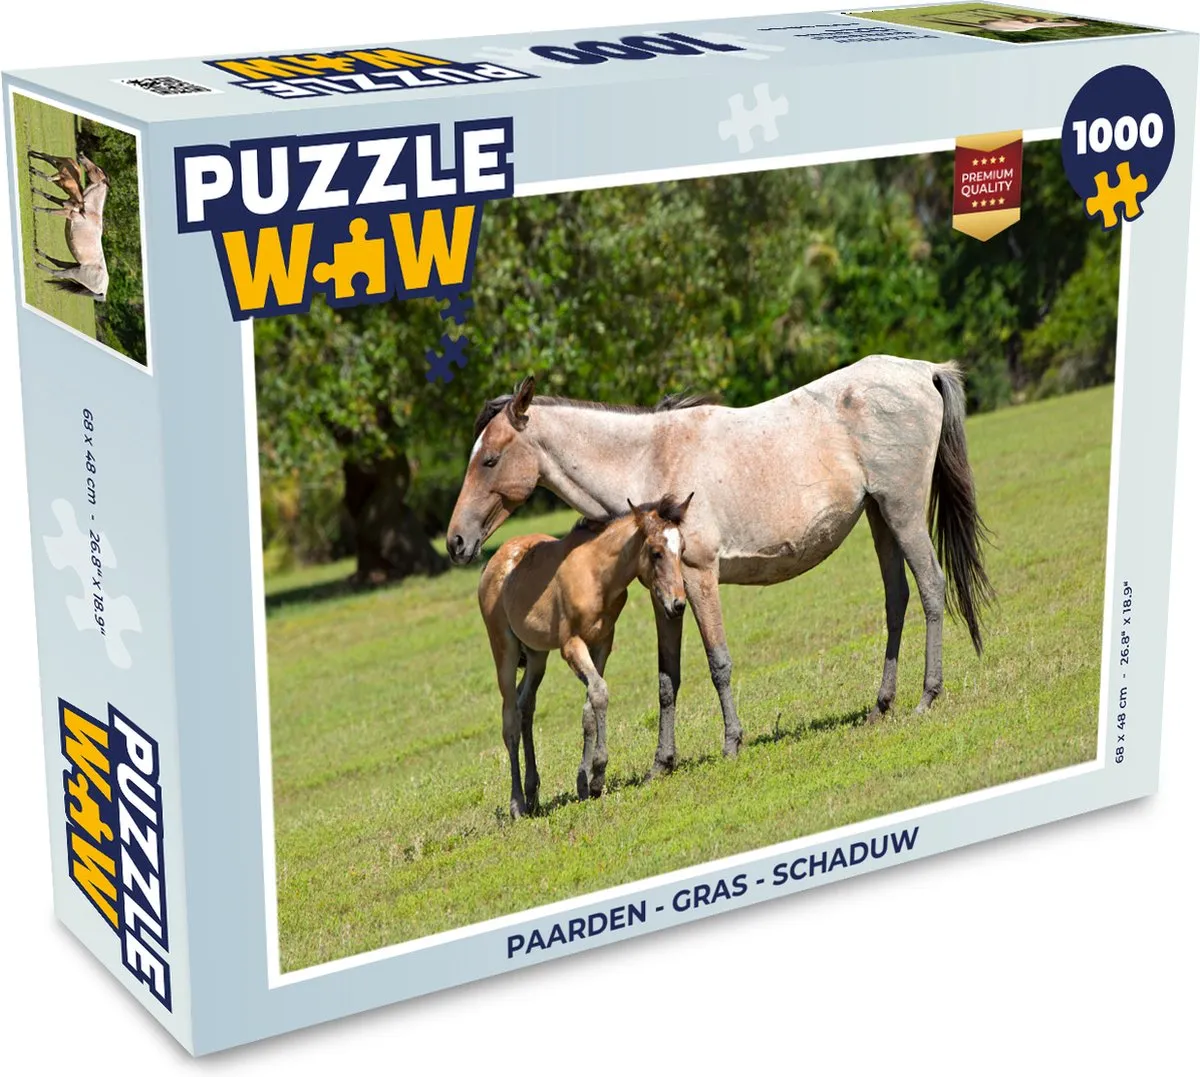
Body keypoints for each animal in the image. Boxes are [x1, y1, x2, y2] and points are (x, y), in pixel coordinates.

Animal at [28, 150, 110, 300]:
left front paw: (35, 208)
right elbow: (48, 197)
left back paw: (37, 264)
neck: (89, 211)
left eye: (97, 170)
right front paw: (33, 188)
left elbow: (49, 210)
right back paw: (37, 251)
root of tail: (103, 292)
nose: (81, 156)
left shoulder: (68, 213)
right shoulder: (65, 204)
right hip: (74, 265)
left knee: (56, 273)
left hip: (74, 272)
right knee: (57, 263)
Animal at [449, 355, 992, 777]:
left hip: (902, 512)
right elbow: (667, 679)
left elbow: (718, 662)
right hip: (880, 518)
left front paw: (732, 743)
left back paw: (928, 695)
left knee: (931, 588)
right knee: (896, 601)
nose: (456, 541)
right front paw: (661, 764)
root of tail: (923, 370)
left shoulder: (697, 575)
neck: (649, 457)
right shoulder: (664, 598)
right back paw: (881, 704)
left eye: (490, 459)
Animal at [478, 493, 692, 817]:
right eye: (656, 552)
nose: (678, 604)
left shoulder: (602, 642)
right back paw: (517, 803)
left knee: (525, 705)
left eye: (682, 549)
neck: (597, 576)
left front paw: (585, 783)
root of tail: (494, 561)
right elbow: (600, 693)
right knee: (510, 718)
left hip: (537, 656)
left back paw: (533, 793)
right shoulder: (572, 645)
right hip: (503, 648)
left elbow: (590, 707)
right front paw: (598, 774)